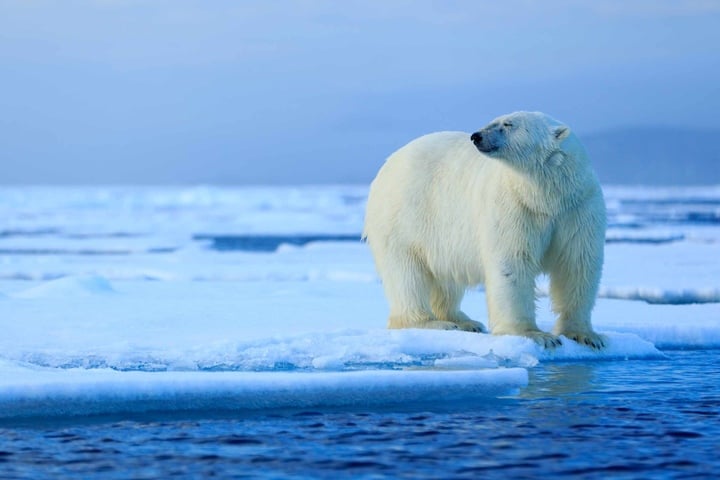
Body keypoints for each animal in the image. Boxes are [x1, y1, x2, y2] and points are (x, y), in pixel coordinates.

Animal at [362, 110, 604, 346]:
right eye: (493, 121)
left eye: (508, 124)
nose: (476, 136)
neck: (546, 197)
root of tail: (387, 164)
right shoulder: (514, 205)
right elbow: (513, 262)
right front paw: (534, 335)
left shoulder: (578, 208)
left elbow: (577, 263)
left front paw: (584, 335)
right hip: (403, 218)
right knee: (406, 274)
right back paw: (431, 323)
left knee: (445, 278)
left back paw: (463, 321)